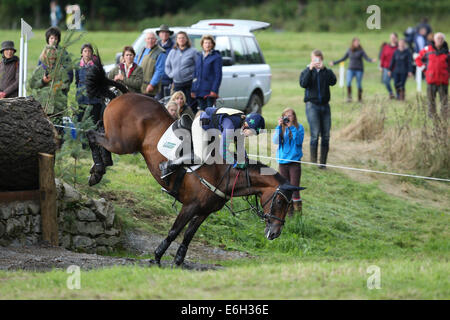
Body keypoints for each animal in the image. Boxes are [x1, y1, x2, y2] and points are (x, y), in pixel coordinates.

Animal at [85, 63, 302, 266]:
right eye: (280, 202)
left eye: (289, 204)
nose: (275, 233)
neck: (223, 175)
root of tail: (126, 95)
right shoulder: (190, 206)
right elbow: (174, 231)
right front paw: (156, 257)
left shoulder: (203, 212)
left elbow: (189, 235)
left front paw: (178, 261)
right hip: (122, 143)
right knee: (91, 134)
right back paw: (98, 170)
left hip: (117, 138)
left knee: (97, 132)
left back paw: (100, 167)